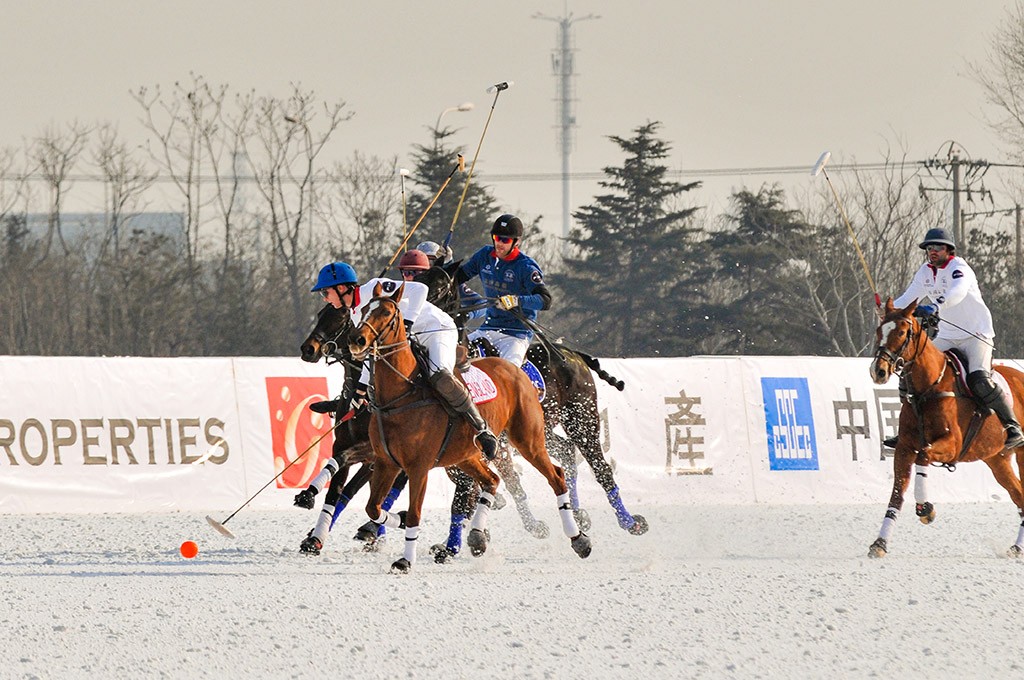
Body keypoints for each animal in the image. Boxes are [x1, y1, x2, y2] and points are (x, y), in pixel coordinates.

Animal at [350, 280, 593, 573]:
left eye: (386, 312)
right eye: (364, 309)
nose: (356, 340)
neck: (400, 396)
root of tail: (515, 369)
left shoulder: (418, 467)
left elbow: (416, 514)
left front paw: (406, 559)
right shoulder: (386, 462)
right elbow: (374, 508)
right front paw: (394, 521)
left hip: (529, 439)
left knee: (556, 476)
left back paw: (579, 539)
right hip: (466, 456)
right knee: (493, 480)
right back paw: (477, 537)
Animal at [868, 296, 1024, 557]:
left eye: (902, 332)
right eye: (880, 330)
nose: (878, 371)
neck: (927, 387)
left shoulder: (952, 445)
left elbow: (924, 455)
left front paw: (925, 508)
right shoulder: (904, 448)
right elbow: (897, 492)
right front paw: (879, 544)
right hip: (997, 459)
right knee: (1019, 496)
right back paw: (1016, 548)